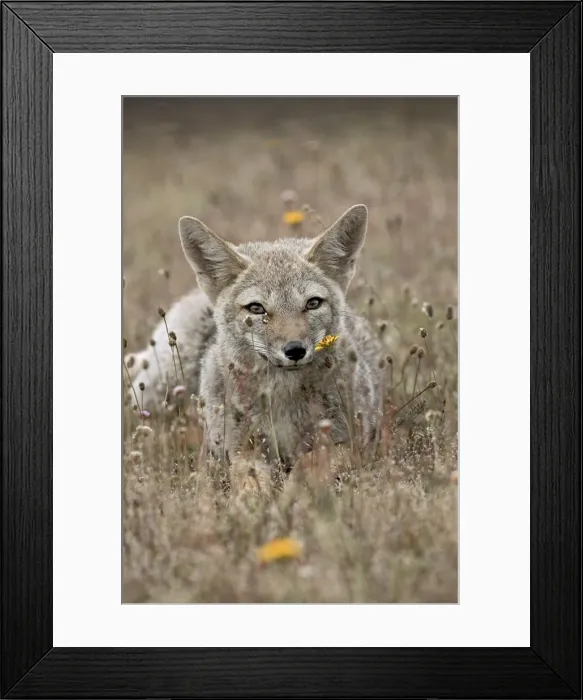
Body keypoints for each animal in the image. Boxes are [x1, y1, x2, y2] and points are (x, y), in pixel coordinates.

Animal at [126, 204, 383, 488]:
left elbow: (306, 466)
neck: (283, 401)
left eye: (313, 303)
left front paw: (292, 495)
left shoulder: (349, 444)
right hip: (160, 387)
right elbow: (250, 484)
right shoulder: (242, 451)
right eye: (257, 309)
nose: (295, 350)